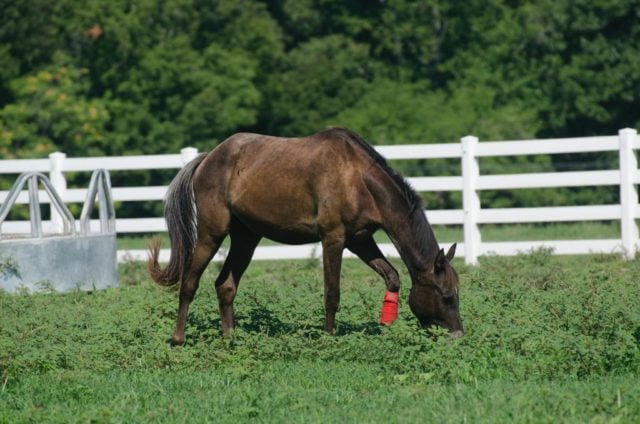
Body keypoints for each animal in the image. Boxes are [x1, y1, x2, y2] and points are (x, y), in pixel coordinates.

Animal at [148, 126, 462, 344]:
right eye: (446, 295)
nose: (457, 335)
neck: (357, 178)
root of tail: (207, 158)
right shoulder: (333, 238)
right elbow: (332, 292)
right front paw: (329, 337)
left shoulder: (360, 239)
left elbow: (392, 277)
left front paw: (385, 325)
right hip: (211, 234)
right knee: (190, 282)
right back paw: (178, 339)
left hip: (246, 238)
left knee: (225, 285)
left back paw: (230, 338)